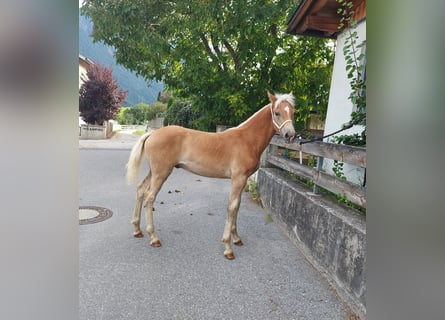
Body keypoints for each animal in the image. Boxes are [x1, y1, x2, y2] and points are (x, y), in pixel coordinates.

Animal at [125, 90, 294, 260]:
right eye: (277, 112)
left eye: (293, 112)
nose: (290, 135)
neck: (246, 140)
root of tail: (152, 135)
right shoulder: (238, 179)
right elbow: (232, 207)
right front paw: (228, 247)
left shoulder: (243, 180)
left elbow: (237, 206)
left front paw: (236, 238)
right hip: (161, 173)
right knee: (149, 197)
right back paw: (154, 238)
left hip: (153, 172)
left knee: (140, 190)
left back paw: (137, 230)